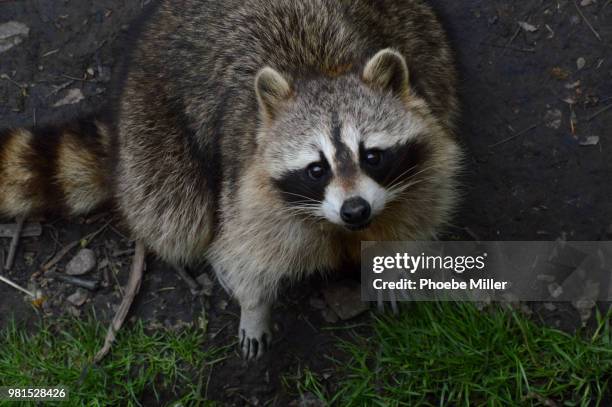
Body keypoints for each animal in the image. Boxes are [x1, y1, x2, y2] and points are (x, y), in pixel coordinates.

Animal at [0, 0, 462, 360]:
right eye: (317, 169)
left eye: (372, 156)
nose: (355, 210)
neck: (320, 70)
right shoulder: (247, 188)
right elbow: (243, 250)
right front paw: (253, 306)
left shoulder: (426, 163)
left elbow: (417, 214)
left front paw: (389, 265)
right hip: (149, 127)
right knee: (175, 215)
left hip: (426, 40)